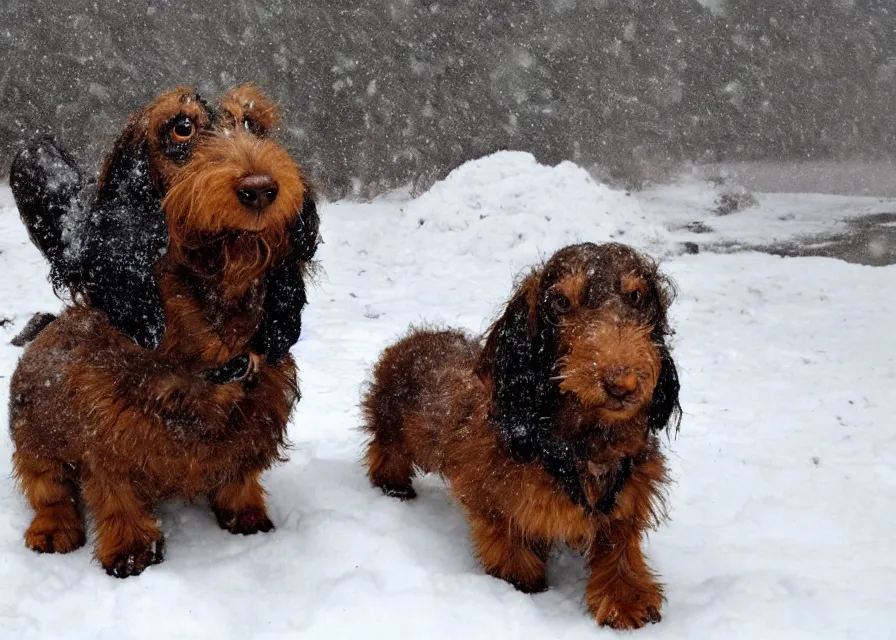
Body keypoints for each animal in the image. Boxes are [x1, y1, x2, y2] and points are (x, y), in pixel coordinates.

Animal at [360, 241, 684, 632]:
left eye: (636, 296)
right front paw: (524, 583)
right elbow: (512, 550)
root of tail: (416, 337)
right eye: (560, 302)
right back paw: (392, 483)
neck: (582, 442)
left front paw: (625, 597)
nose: (623, 384)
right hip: (392, 426)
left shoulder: (627, 494)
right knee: (385, 449)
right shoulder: (493, 499)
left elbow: (618, 547)